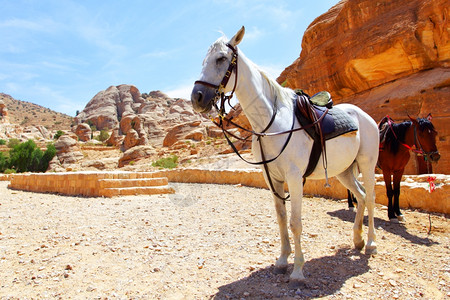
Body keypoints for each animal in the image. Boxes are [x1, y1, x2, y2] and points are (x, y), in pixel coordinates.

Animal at [191, 26, 380, 286]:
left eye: (220, 59)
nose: (196, 97)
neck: (270, 123)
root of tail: (365, 116)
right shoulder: (273, 179)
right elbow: (281, 219)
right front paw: (282, 261)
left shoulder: (294, 177)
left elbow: (295, 223)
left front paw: (298, 270)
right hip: (343, 172)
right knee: (360, 196)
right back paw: (358, 240)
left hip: (367, 165)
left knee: (370, 198)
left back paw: (370, 243)